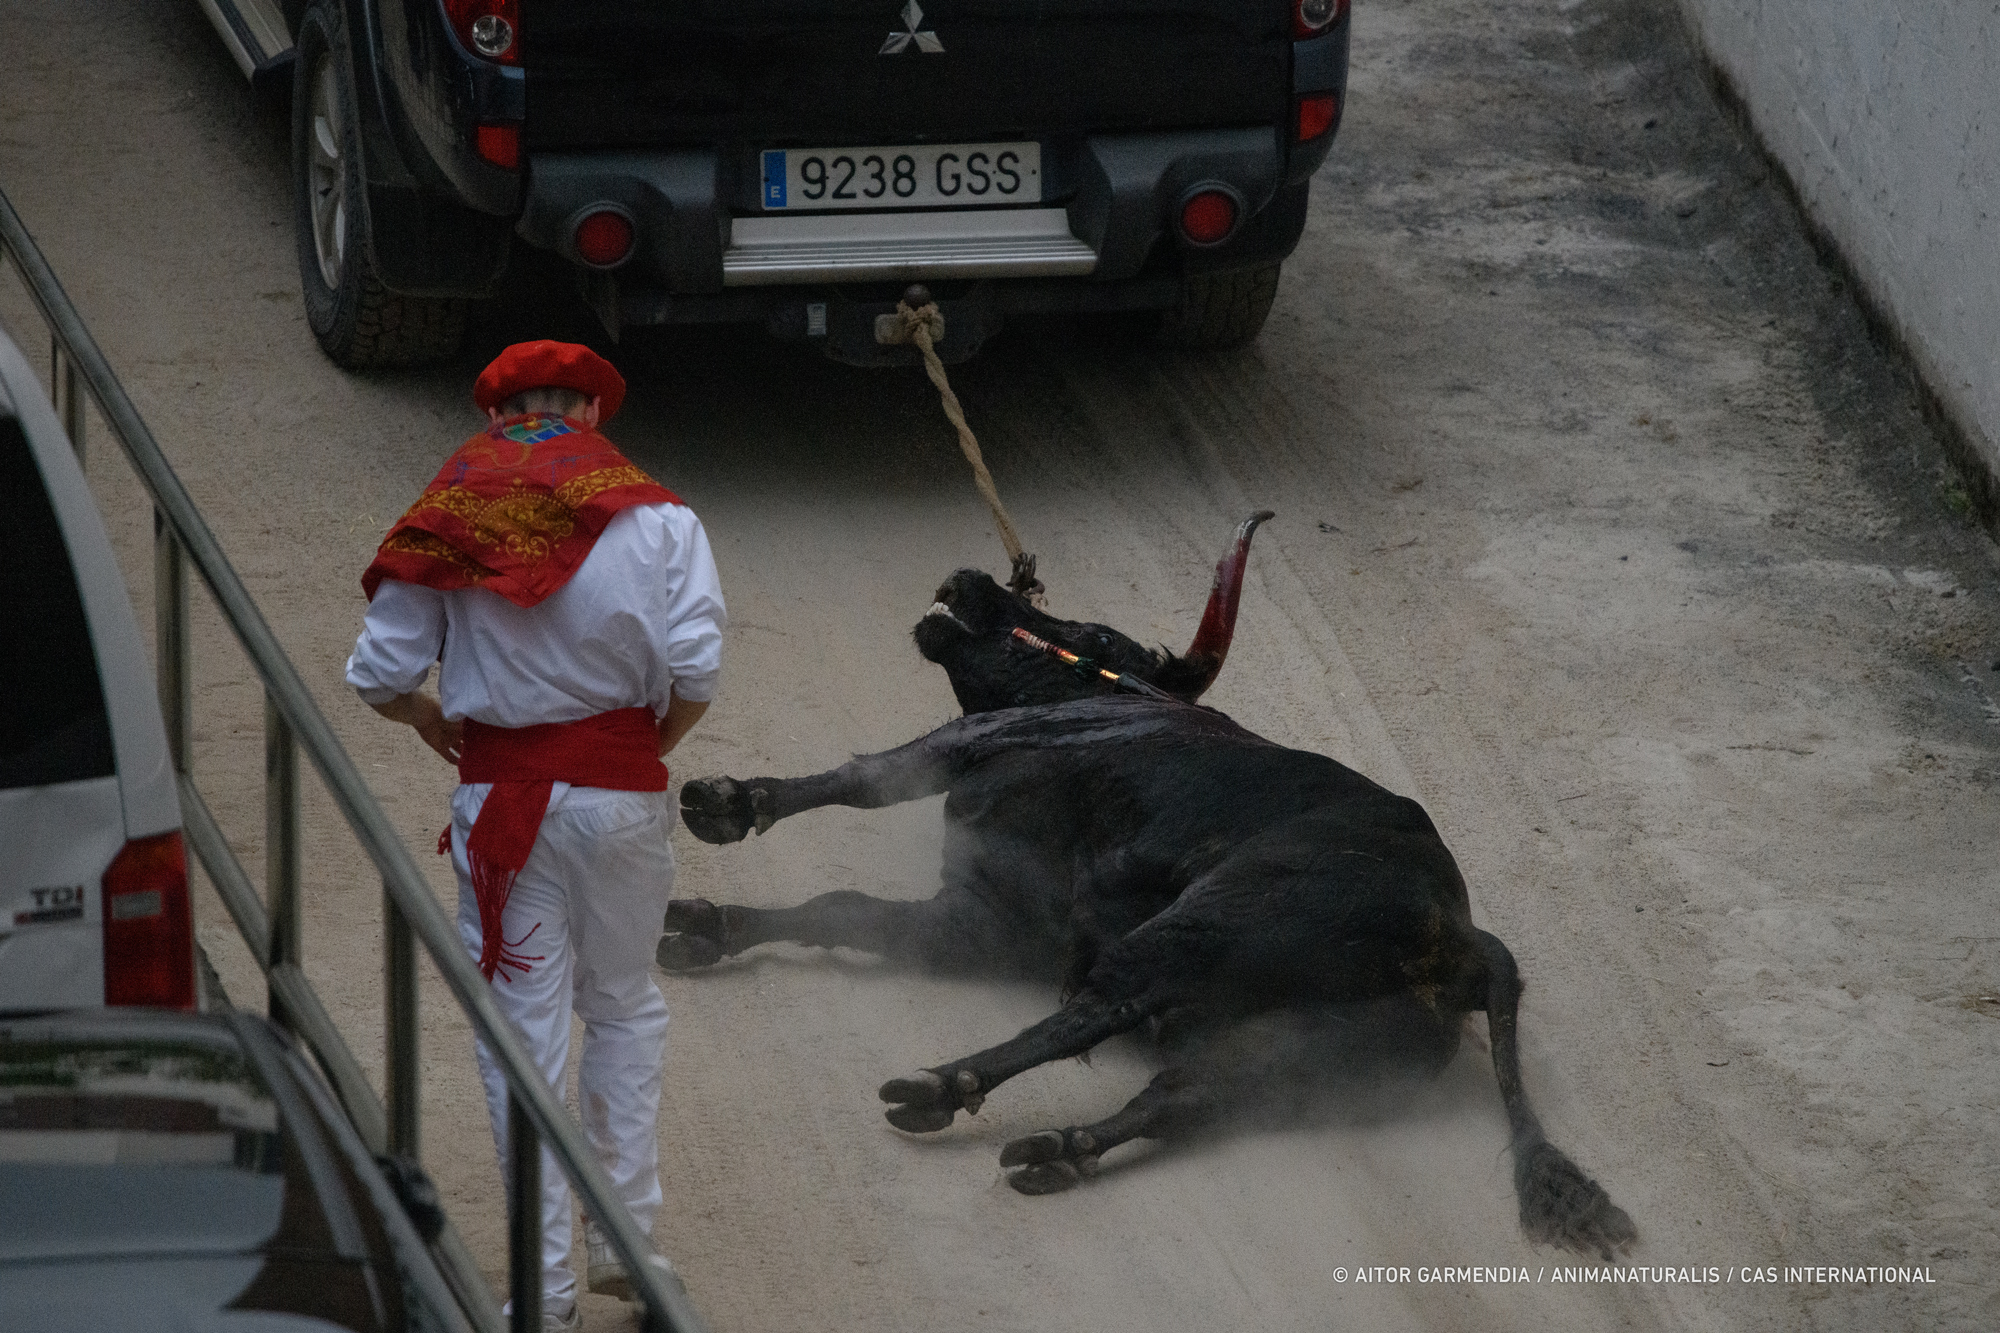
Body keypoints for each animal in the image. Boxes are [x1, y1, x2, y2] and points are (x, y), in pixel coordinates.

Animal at [672, 510, 1640, 1256]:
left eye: (1091, 633)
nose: (966, 577)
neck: (1109, 695)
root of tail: (1470, 940)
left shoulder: (989, 750)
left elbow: (866, 777)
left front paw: (728, 803)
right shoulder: (979, 916)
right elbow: (846, 909)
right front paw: (708, 925)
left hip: (1206, 926)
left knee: (1102, 1005)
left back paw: (944, 1085)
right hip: (1316, 1048)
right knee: (1191, 1092)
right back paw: (1057, 1149)